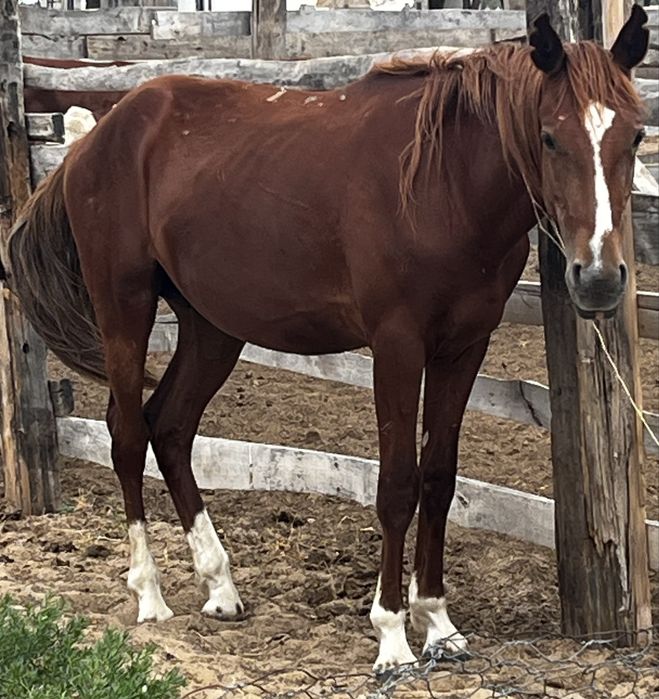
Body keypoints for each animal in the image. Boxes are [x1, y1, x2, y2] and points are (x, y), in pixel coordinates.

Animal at [2, 8, 648, 673]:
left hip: (212, 329)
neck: (440, 182)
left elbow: (440, 480)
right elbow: (397, 486)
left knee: (172, 428)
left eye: (635, 136)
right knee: (128, 436)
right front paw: (393, 636)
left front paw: (439, 624)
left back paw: (221, 587)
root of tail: (97, 138)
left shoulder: (464, 348)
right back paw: (150, 596)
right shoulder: (397, 346)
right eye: (549, 137)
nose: (599, 278)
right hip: (123, 309)